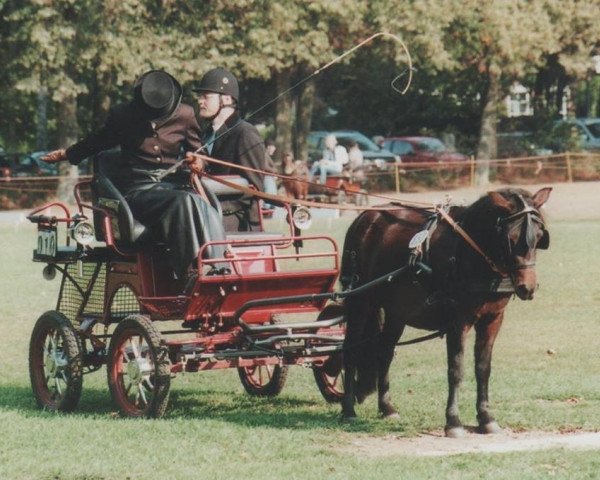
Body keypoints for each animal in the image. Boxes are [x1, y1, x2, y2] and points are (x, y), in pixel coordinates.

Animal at [340, 188, 552, 438]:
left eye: (539, 237)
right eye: (510, 238)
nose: (527, 288)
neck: (471, 252)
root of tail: (365, 217)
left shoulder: (492, 320)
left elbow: (483, 369)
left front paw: (486, 418)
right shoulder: (457, 321)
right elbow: (456, 370)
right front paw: (453, 422)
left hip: (396, 312)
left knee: (385, 352)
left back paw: (387, 408)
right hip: (360, 302)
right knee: (350, 351)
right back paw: (348, 410)